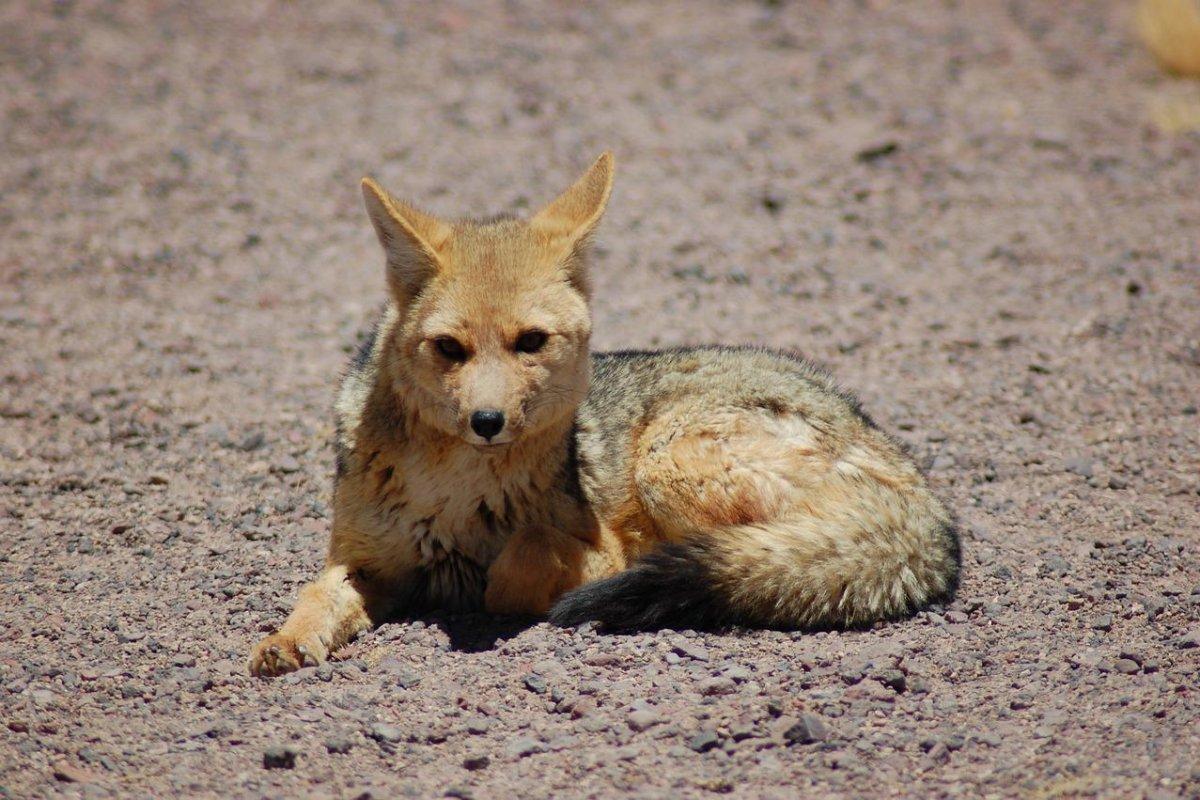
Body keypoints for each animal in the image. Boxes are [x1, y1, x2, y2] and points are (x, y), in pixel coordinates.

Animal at [248, 151, 960, 676]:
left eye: (530, 341)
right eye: (449, 348)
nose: (487, 421)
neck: (451, 490)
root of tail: (927, 498)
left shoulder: (597, 546)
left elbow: (512, 570)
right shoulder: (366, 561)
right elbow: (316, 595)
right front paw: (286, 641)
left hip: (668, 462)